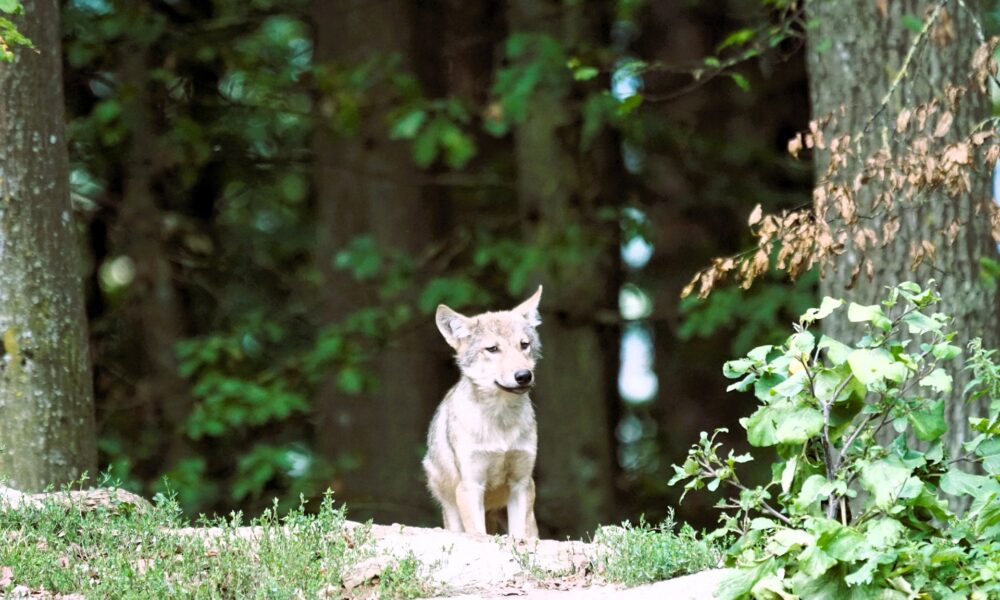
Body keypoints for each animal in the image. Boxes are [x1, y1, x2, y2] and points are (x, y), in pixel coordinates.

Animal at [422, 286, 543, 539]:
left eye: (524, 345)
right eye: (493, 349)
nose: (524, 375)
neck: (500, 422)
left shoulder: (522, 483)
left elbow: (519, 535)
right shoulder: (471, 486)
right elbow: (478, 533)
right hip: (452, 510)